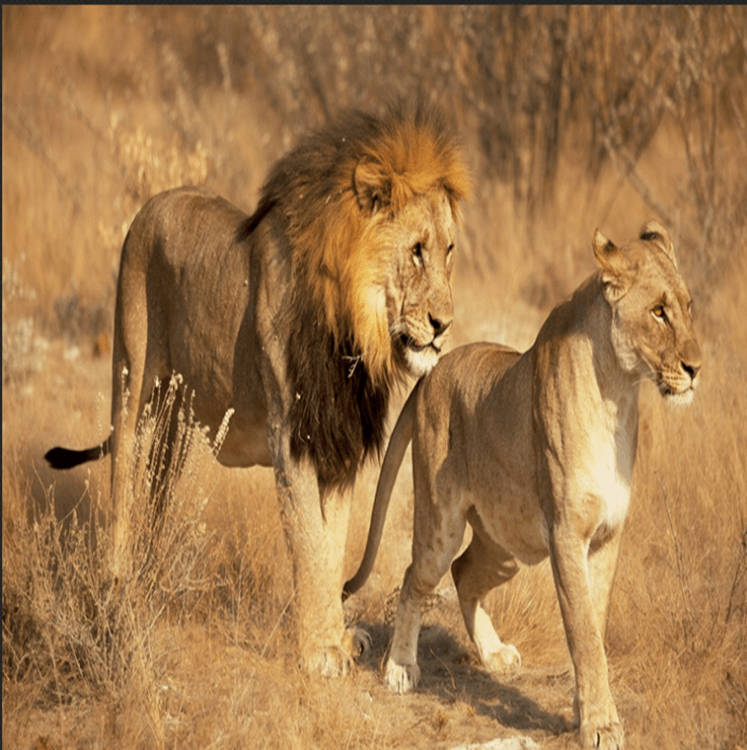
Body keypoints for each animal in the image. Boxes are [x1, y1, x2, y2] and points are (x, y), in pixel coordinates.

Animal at [44, 105, 469, 677]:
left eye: (448, 251)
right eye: (416, 251)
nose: (444, 326)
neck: (354, 333)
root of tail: (155, 200)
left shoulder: (338, 448)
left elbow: (332, 544)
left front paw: (338, 638)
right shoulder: (292, 441)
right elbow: (308, 543)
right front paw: (319, 652)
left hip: (176, 421)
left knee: (157, 492)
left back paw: (151, 576)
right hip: (130, 380)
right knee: (123, 488)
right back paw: (117, 587)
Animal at [343, 222, 702, 748]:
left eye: (688, 306)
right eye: (658, 311)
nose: (697, 368)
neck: (618, 395)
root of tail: (432, 374)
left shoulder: (608, 536)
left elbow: (595, 627)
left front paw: (585, 711)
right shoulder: (567, 534)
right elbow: (583, 633)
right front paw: (600, 723)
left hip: (508, 543)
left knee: (464, 574)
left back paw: (492, 655)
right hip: (441, 524)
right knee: (415, 578)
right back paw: (400, 668)